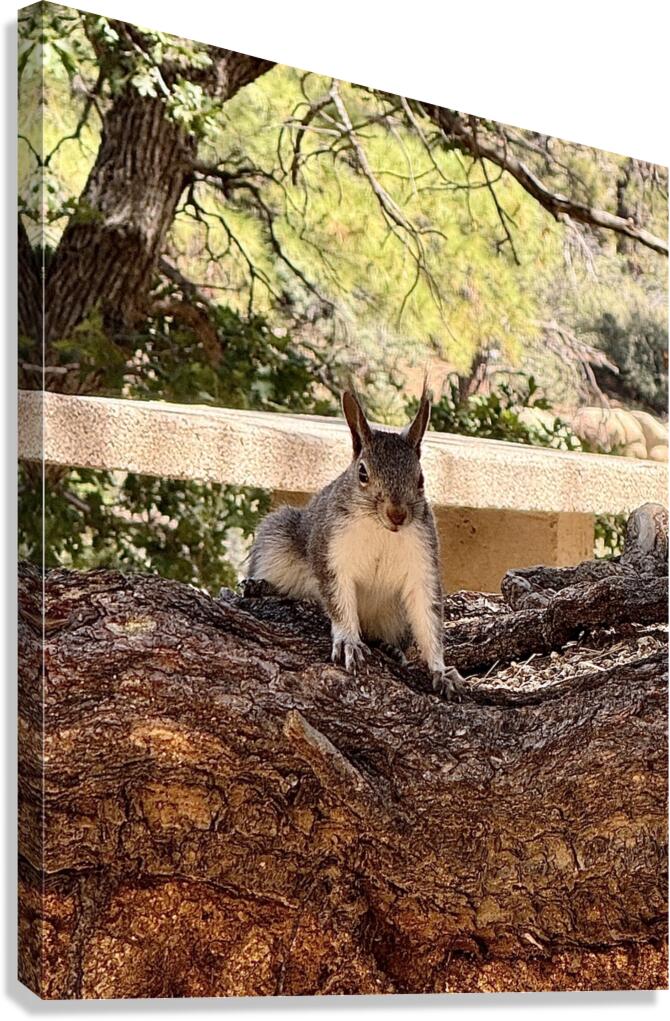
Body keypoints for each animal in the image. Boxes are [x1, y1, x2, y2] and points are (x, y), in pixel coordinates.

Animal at [246, 387, 464, 697]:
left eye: (420, 479)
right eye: (362, 473)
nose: (397, 514)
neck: (382, 530)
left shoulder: (423, 561)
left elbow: (428, 617)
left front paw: (441, 670)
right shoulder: (331, 554)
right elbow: (339, 601)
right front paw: (348, 641)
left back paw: (390, 648)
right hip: (276, 540)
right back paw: (259, 586)